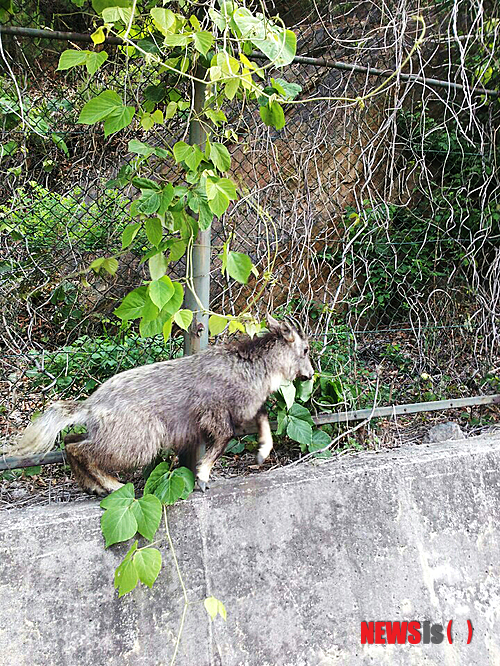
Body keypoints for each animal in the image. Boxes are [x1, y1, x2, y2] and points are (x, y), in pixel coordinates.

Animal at [11, 312, 312, 492]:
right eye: (306, 349)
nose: (309, 375)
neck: (253, 366)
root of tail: (90, 406)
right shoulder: (215, 414)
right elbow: (224, 441)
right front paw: (202, 477)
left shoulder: (245, 409)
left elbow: (263, 421)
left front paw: (262, 453)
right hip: (140, 441)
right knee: (80, 449)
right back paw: (113, 486)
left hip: (110, 436)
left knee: (69, 441)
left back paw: (93, 486)